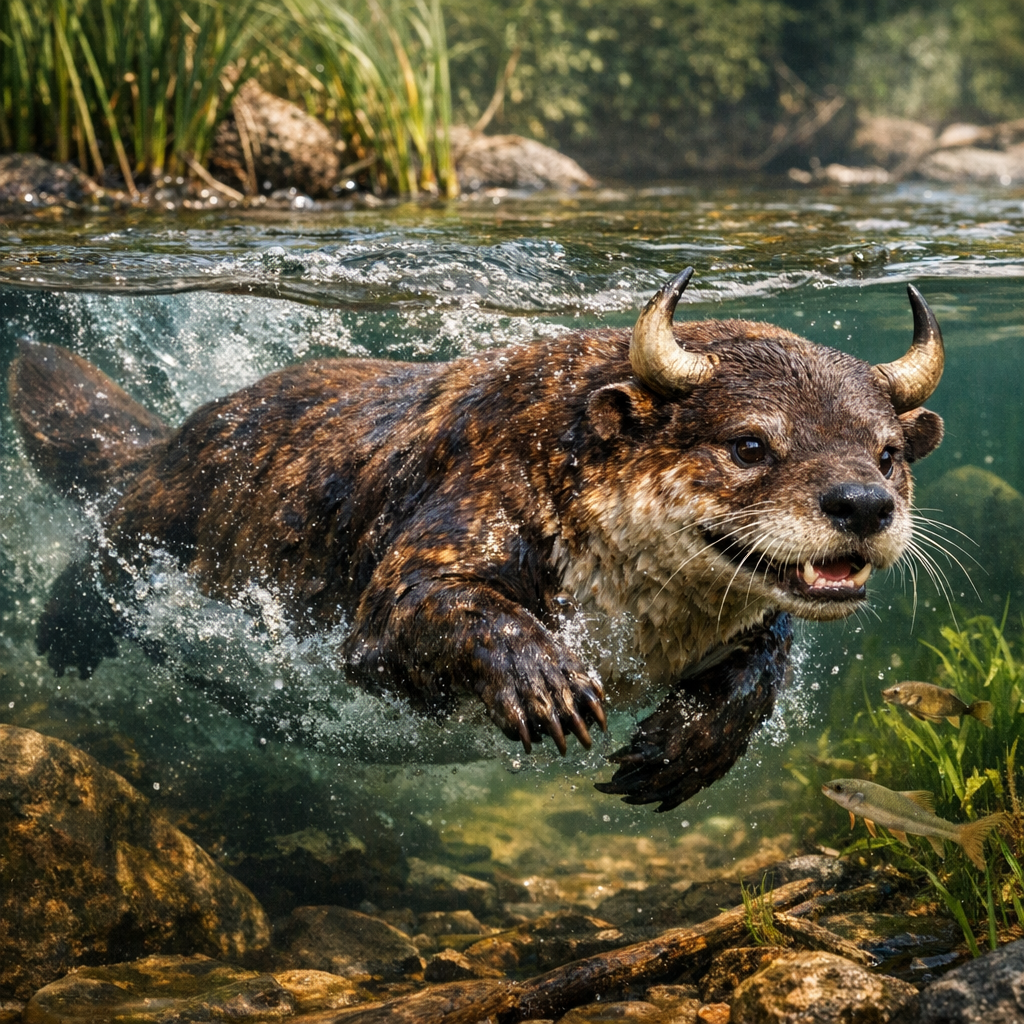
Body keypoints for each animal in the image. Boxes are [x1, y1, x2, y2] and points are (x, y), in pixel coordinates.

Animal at [8, 269, 945, 810]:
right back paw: (63, 635)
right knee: (99, 561)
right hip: (155, 523)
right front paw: (547, 681)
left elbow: (763, 656)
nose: (863, 503)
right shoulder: (467, 507)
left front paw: (685, 749)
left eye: (888, 454)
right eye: (750, 444)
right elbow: (424, 609)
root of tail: (168, 441)